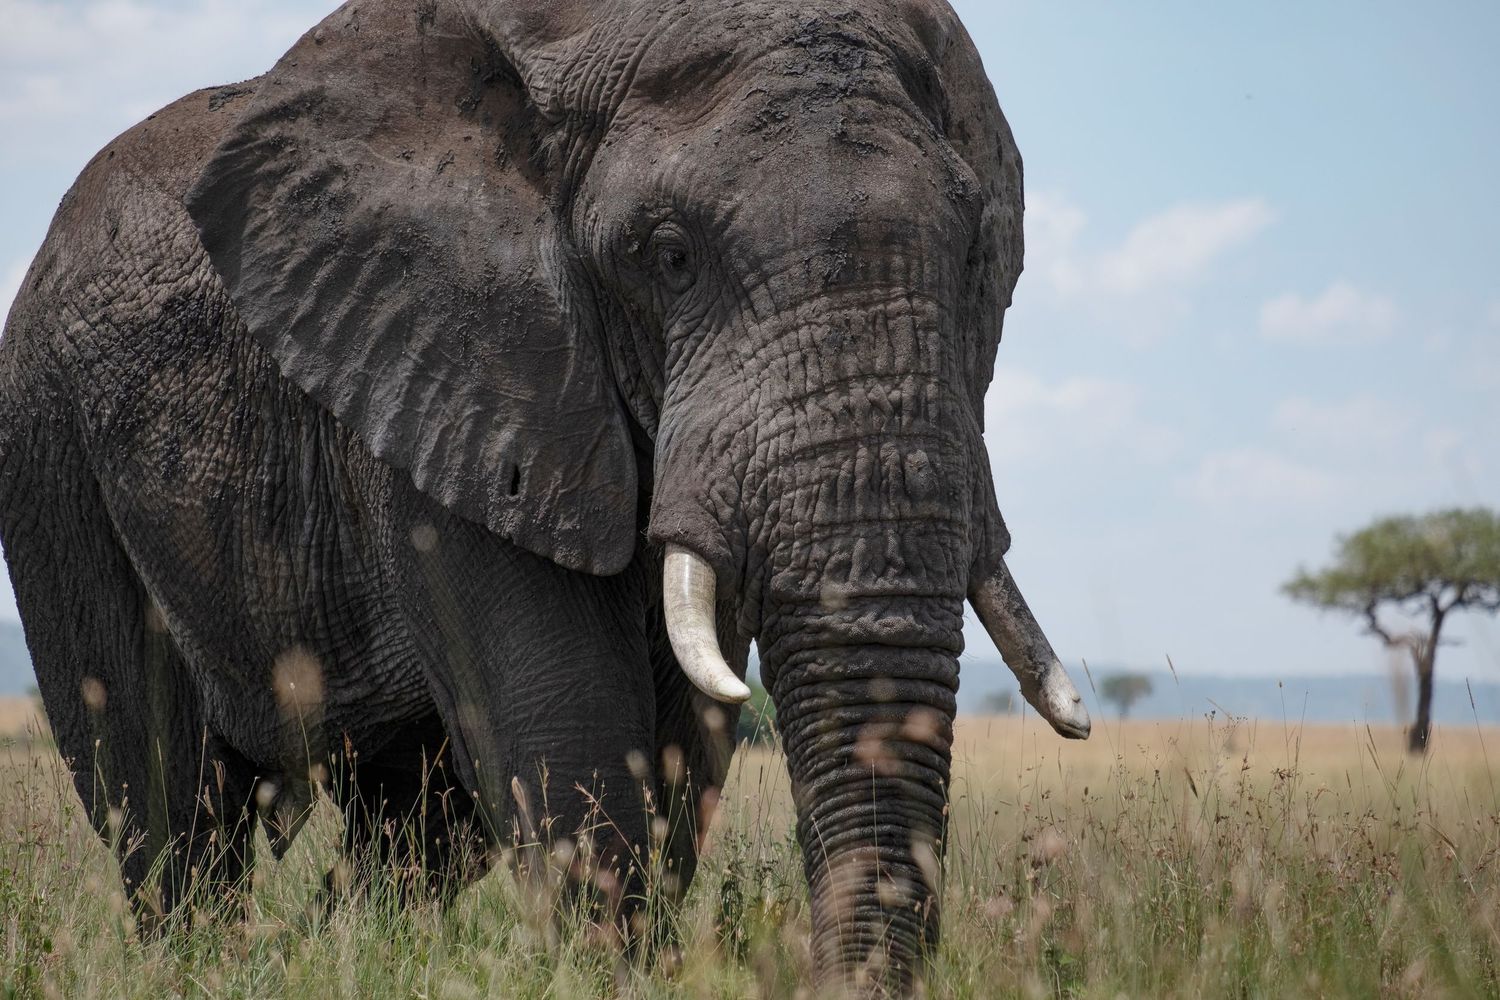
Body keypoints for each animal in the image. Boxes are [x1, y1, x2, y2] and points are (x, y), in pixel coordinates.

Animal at [0, 0, 1091, 989]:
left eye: (975, 254)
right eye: (670, 256)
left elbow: (677, 747)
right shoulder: (459, 368)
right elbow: (575, 746)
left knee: (412, 829)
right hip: (49, 444)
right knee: (166, 809)